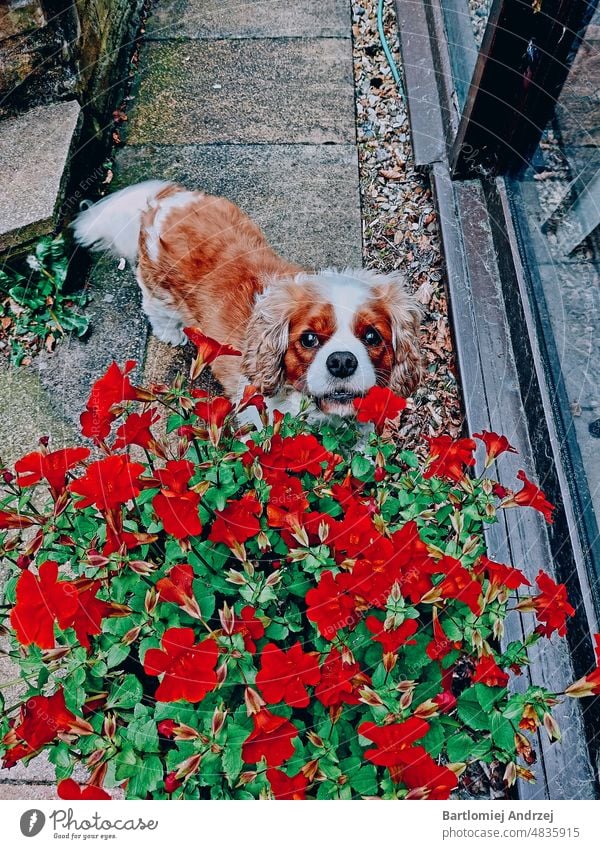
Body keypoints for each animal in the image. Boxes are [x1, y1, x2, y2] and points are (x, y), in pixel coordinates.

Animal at [74, 181, 422, 420]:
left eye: (372, 336)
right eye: (308, 339)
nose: (342, 361)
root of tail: (166, 200)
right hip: (160, 291)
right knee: (154, 308)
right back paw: (171, 333)